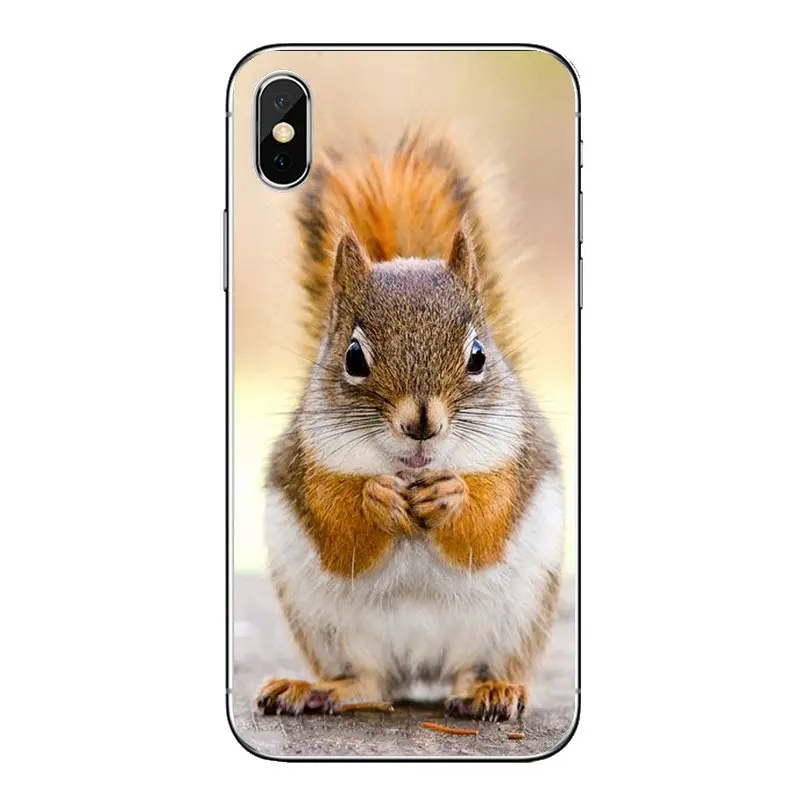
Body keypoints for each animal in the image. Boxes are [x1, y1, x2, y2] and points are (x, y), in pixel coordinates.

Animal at [256, 131, 564, 721]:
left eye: (477, 355)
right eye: (353, 357)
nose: (421, 423)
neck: (412, 470)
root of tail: (423, 669)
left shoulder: (514, 459)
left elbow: (487, 528)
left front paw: (452, 496)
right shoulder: (309, 466)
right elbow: (338, 534)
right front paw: (374, 498)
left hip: (515, 620)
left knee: (474, 670)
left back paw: (491, 691)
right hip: (329, 628)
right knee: (368, 683)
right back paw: (316, 689)